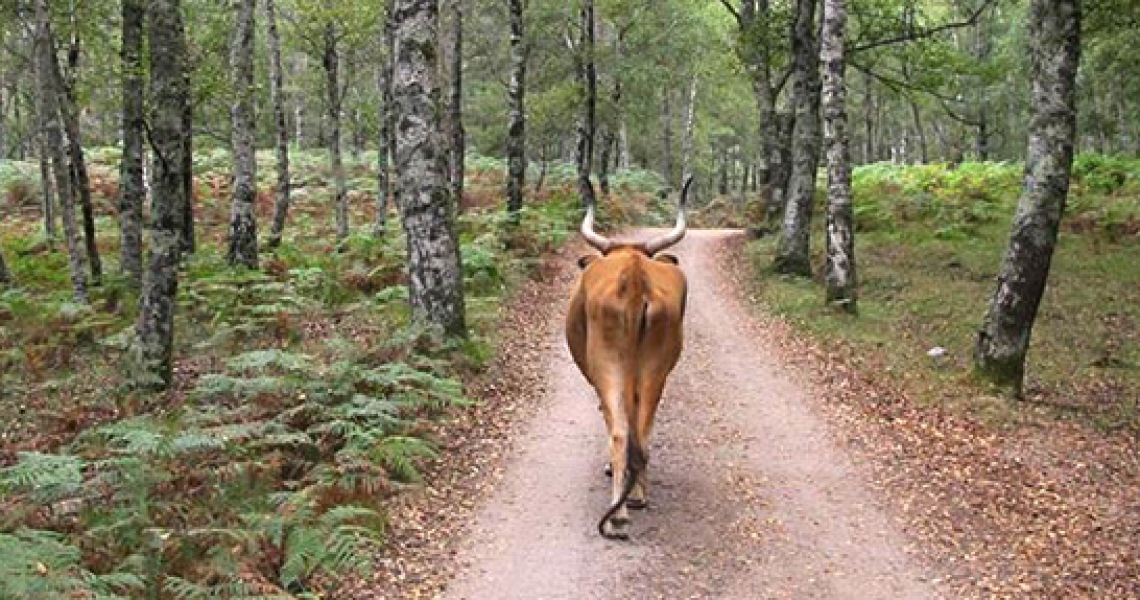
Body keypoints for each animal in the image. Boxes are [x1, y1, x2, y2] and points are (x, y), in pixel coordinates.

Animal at [565, 177, 688, 540]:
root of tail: (634, 274)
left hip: (608, 367)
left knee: (620, 432)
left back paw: (617, 516)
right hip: (655, 371)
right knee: (642, 433)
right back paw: (637, 496)